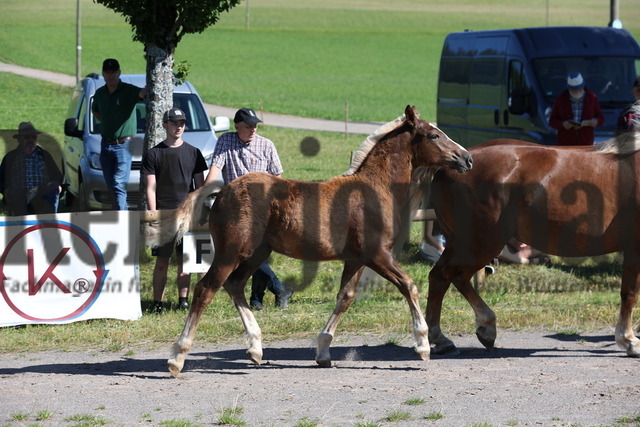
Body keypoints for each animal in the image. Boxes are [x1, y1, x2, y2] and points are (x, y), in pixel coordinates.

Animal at [158, 105, 472, 376]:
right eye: (434, 135)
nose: (466, 158)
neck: (374, 188)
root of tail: (221, 192)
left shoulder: (356, 259)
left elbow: (345, 298)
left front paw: (322, 352)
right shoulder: (378, 255)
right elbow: (409, 286)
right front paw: (423, 346)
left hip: (257, 253)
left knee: (234, 285)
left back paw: (256, 349)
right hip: (230, 252)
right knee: (205, 289)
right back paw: (177, 358)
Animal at [424, 112, 640, 360]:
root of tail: (452, 166)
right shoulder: (634, 247)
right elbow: (630, 293)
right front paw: (629, 341)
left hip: (461, 243)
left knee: (440, 277)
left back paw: (442, 338)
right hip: (483, 243)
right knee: (452, 275)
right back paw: (482, 328)